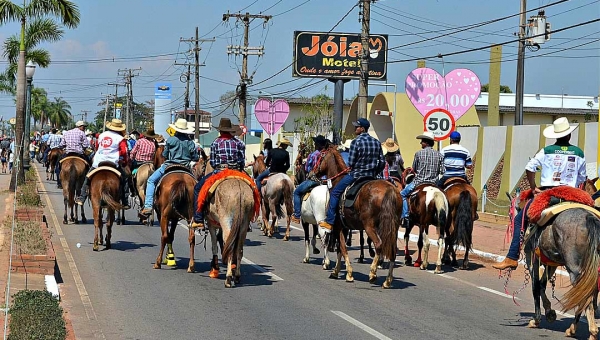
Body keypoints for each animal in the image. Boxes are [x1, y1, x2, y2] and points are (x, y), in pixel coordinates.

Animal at [312, 146, 400, 286]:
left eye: (319, 157)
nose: (312, 172)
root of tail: (390, 189)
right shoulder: (345, 227)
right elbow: (340, 250)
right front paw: (336, 271)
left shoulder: (338, 227)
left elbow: (342, 248)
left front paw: (348, 274)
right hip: (393, 228)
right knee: (392, 250)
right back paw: (388, 280)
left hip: (370, 227)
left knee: (379, 245)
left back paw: (373, 273)